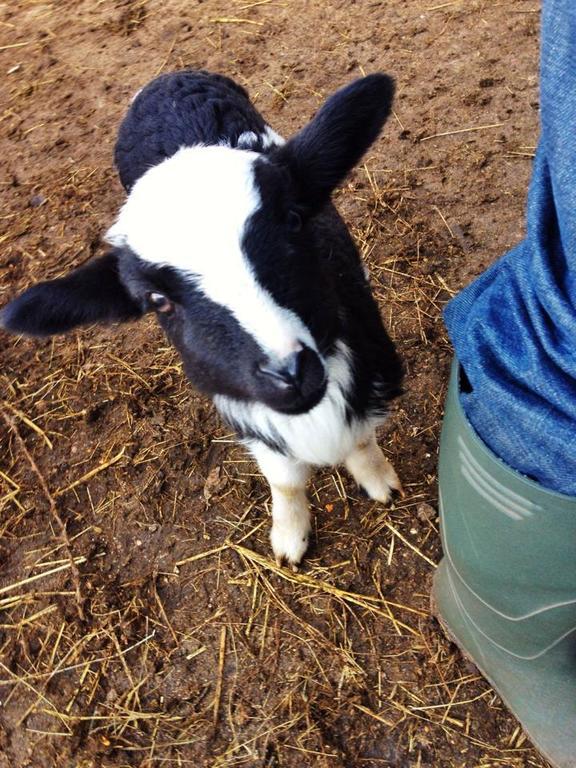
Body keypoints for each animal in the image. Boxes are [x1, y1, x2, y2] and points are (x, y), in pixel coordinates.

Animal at [1, 69, 404, 568]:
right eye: (157, 299)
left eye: (294, 220)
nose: (289, 373)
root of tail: (170, 77)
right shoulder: (241, 405)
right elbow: (284, 477)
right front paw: (289, 534)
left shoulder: (370, 360)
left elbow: (362, 439)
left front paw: (378, 481)